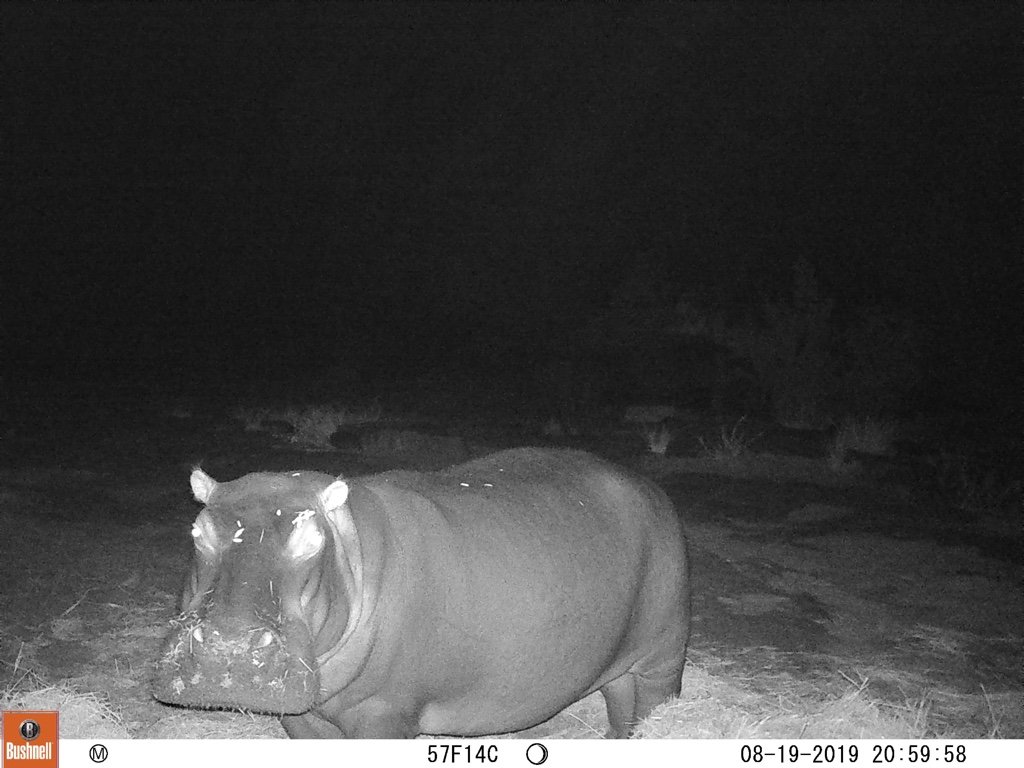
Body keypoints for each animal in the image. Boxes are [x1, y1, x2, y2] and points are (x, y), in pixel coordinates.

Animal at [152, 447, 690, 738]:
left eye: (311, 540)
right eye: (198, 531)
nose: (227, 648)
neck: (353, 549)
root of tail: (650, 489)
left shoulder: (384, 715)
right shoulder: (300, 716)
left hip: (664, 655)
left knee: (654, 702)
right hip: (618, 663)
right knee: (621, 708)